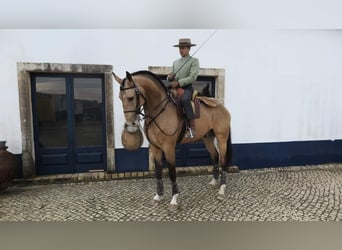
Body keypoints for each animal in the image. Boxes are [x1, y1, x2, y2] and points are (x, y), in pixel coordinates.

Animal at [113, 70, 236, 209]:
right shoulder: (155, 148)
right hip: (208, 138)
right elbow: (158, 171)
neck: (160, 111)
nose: (130, 125)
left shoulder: (169, 148)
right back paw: (214, 182)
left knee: (223, 159)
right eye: (120, 97)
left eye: (130, 97)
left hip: (222, 138)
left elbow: (172, 172)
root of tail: (221, 106)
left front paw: (174, 199)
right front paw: (158, 196)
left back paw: (221, 189)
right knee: (215, 156)